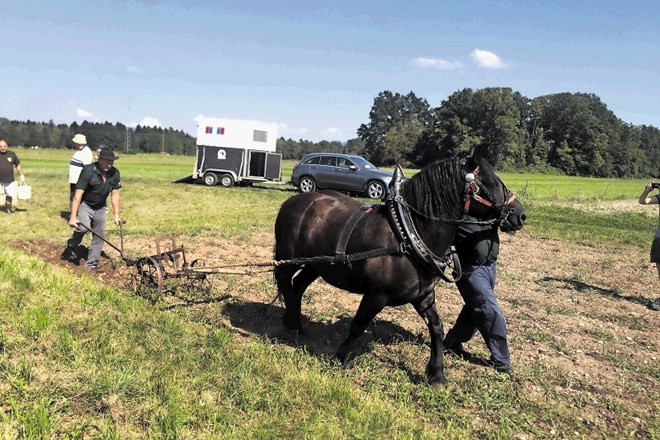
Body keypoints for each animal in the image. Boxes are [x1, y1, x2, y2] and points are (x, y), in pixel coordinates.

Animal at [274, 156, 524, 388]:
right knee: (286, 283)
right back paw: (290, 322)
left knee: (298, 287)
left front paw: (436, 374)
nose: (520, 214)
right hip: (289, 260)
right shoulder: (375, 296)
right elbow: (358, 325)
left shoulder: (424, 296)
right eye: (491, 182)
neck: (406, 235)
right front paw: (341, 357)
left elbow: (437, 328)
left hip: (317, 265)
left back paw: (295, 323)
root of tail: (293, 201)